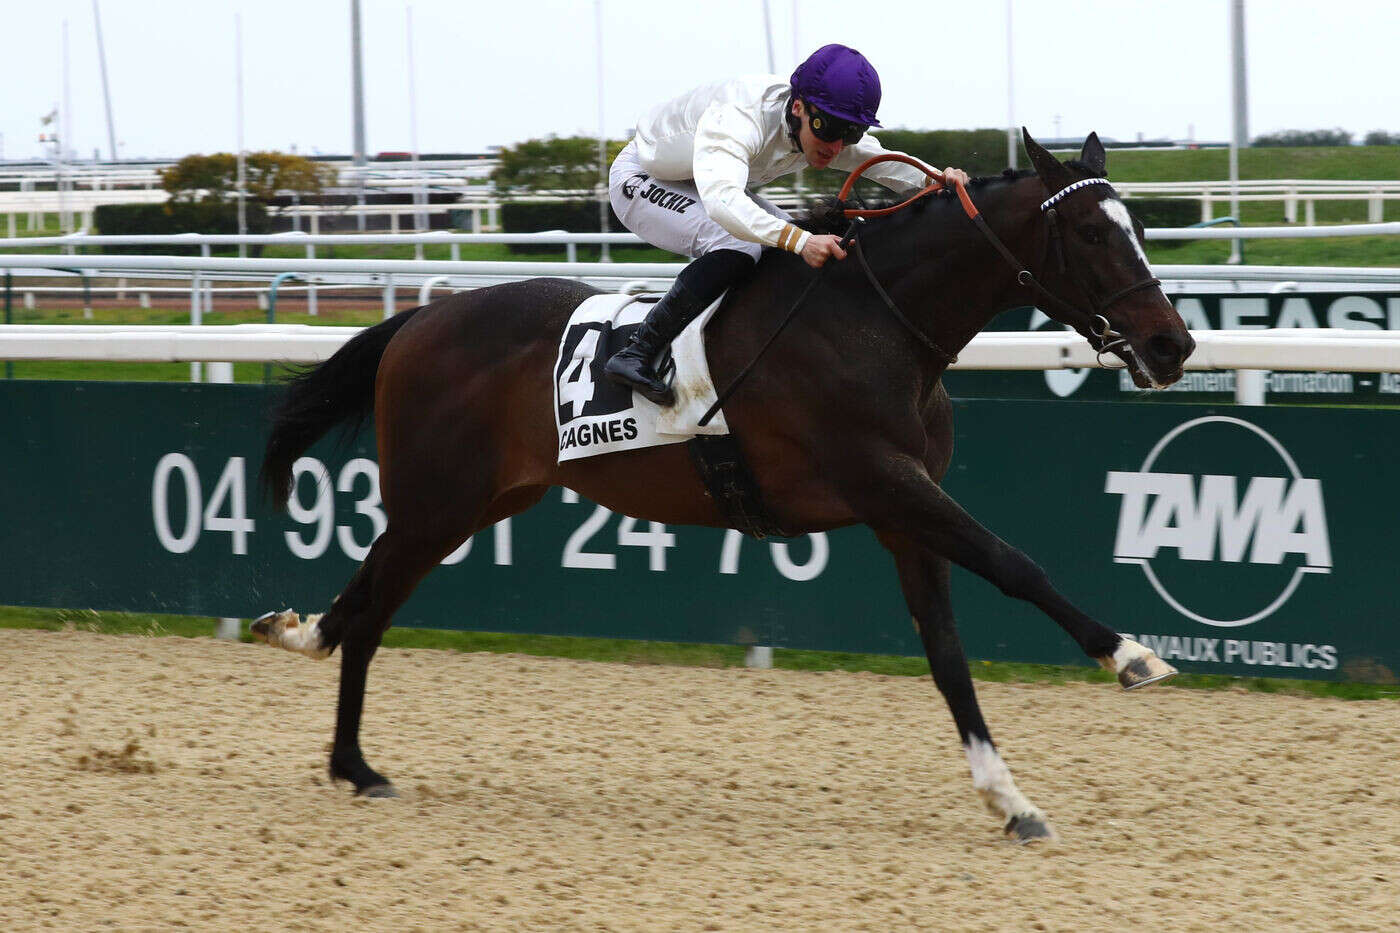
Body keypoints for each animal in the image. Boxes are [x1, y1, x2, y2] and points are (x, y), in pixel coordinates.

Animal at [252, 128, 1192, 834]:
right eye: (1093, 235)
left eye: (1140, 228)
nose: (1172, 343)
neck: (874, 322)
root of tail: (420, 318)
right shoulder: (887, 482)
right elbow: (1013, 563)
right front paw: (1129, 653)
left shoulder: (903, 513)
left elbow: (948, 652)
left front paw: (1011, 798)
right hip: (435, 499)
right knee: (369, 607)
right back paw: (332, 715)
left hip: (479, 500)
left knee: (371, 605)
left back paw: (336, 722)